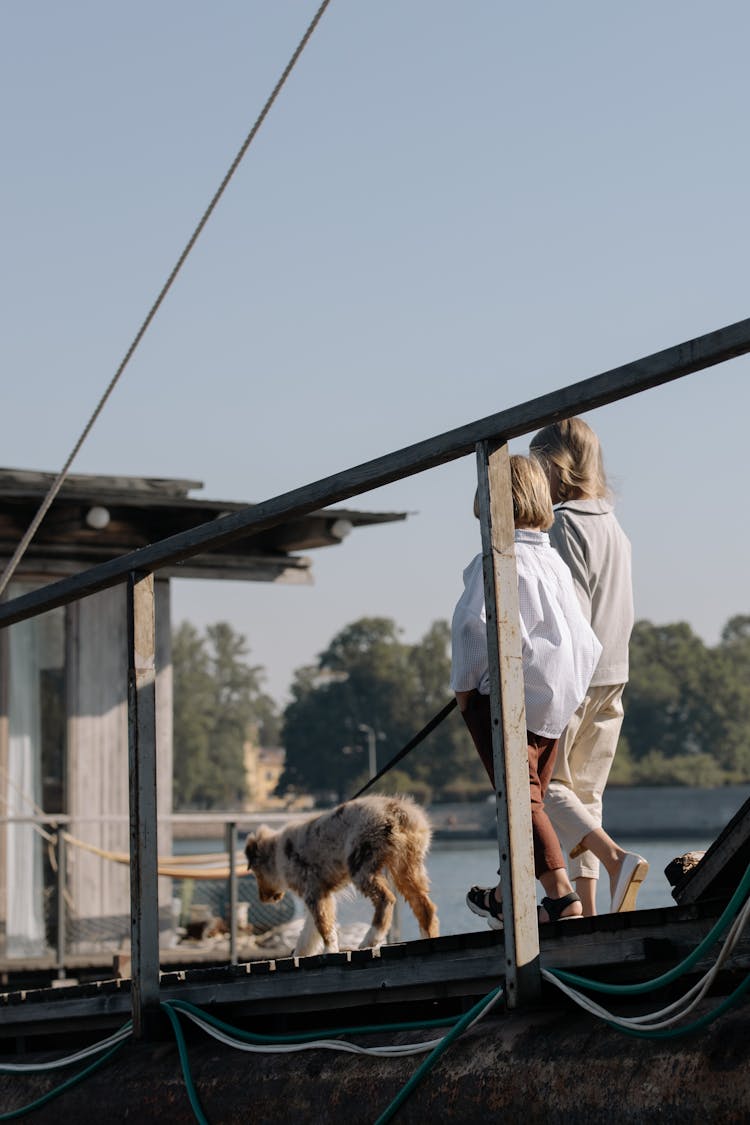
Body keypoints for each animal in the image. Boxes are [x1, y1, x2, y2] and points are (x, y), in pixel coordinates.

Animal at [244, 792, 440, 958]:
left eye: (255, 873)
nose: (262, 899)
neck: (278, 854)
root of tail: (398, 811)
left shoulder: (314, 893)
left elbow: (324, 928)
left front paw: (329, 951)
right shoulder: (321, 894)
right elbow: (309, 932)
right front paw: (299, 954)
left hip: (361, 866)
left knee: (386, 899)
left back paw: (370, 940)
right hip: (407, 867)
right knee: (425, 907)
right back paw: (428, 937)